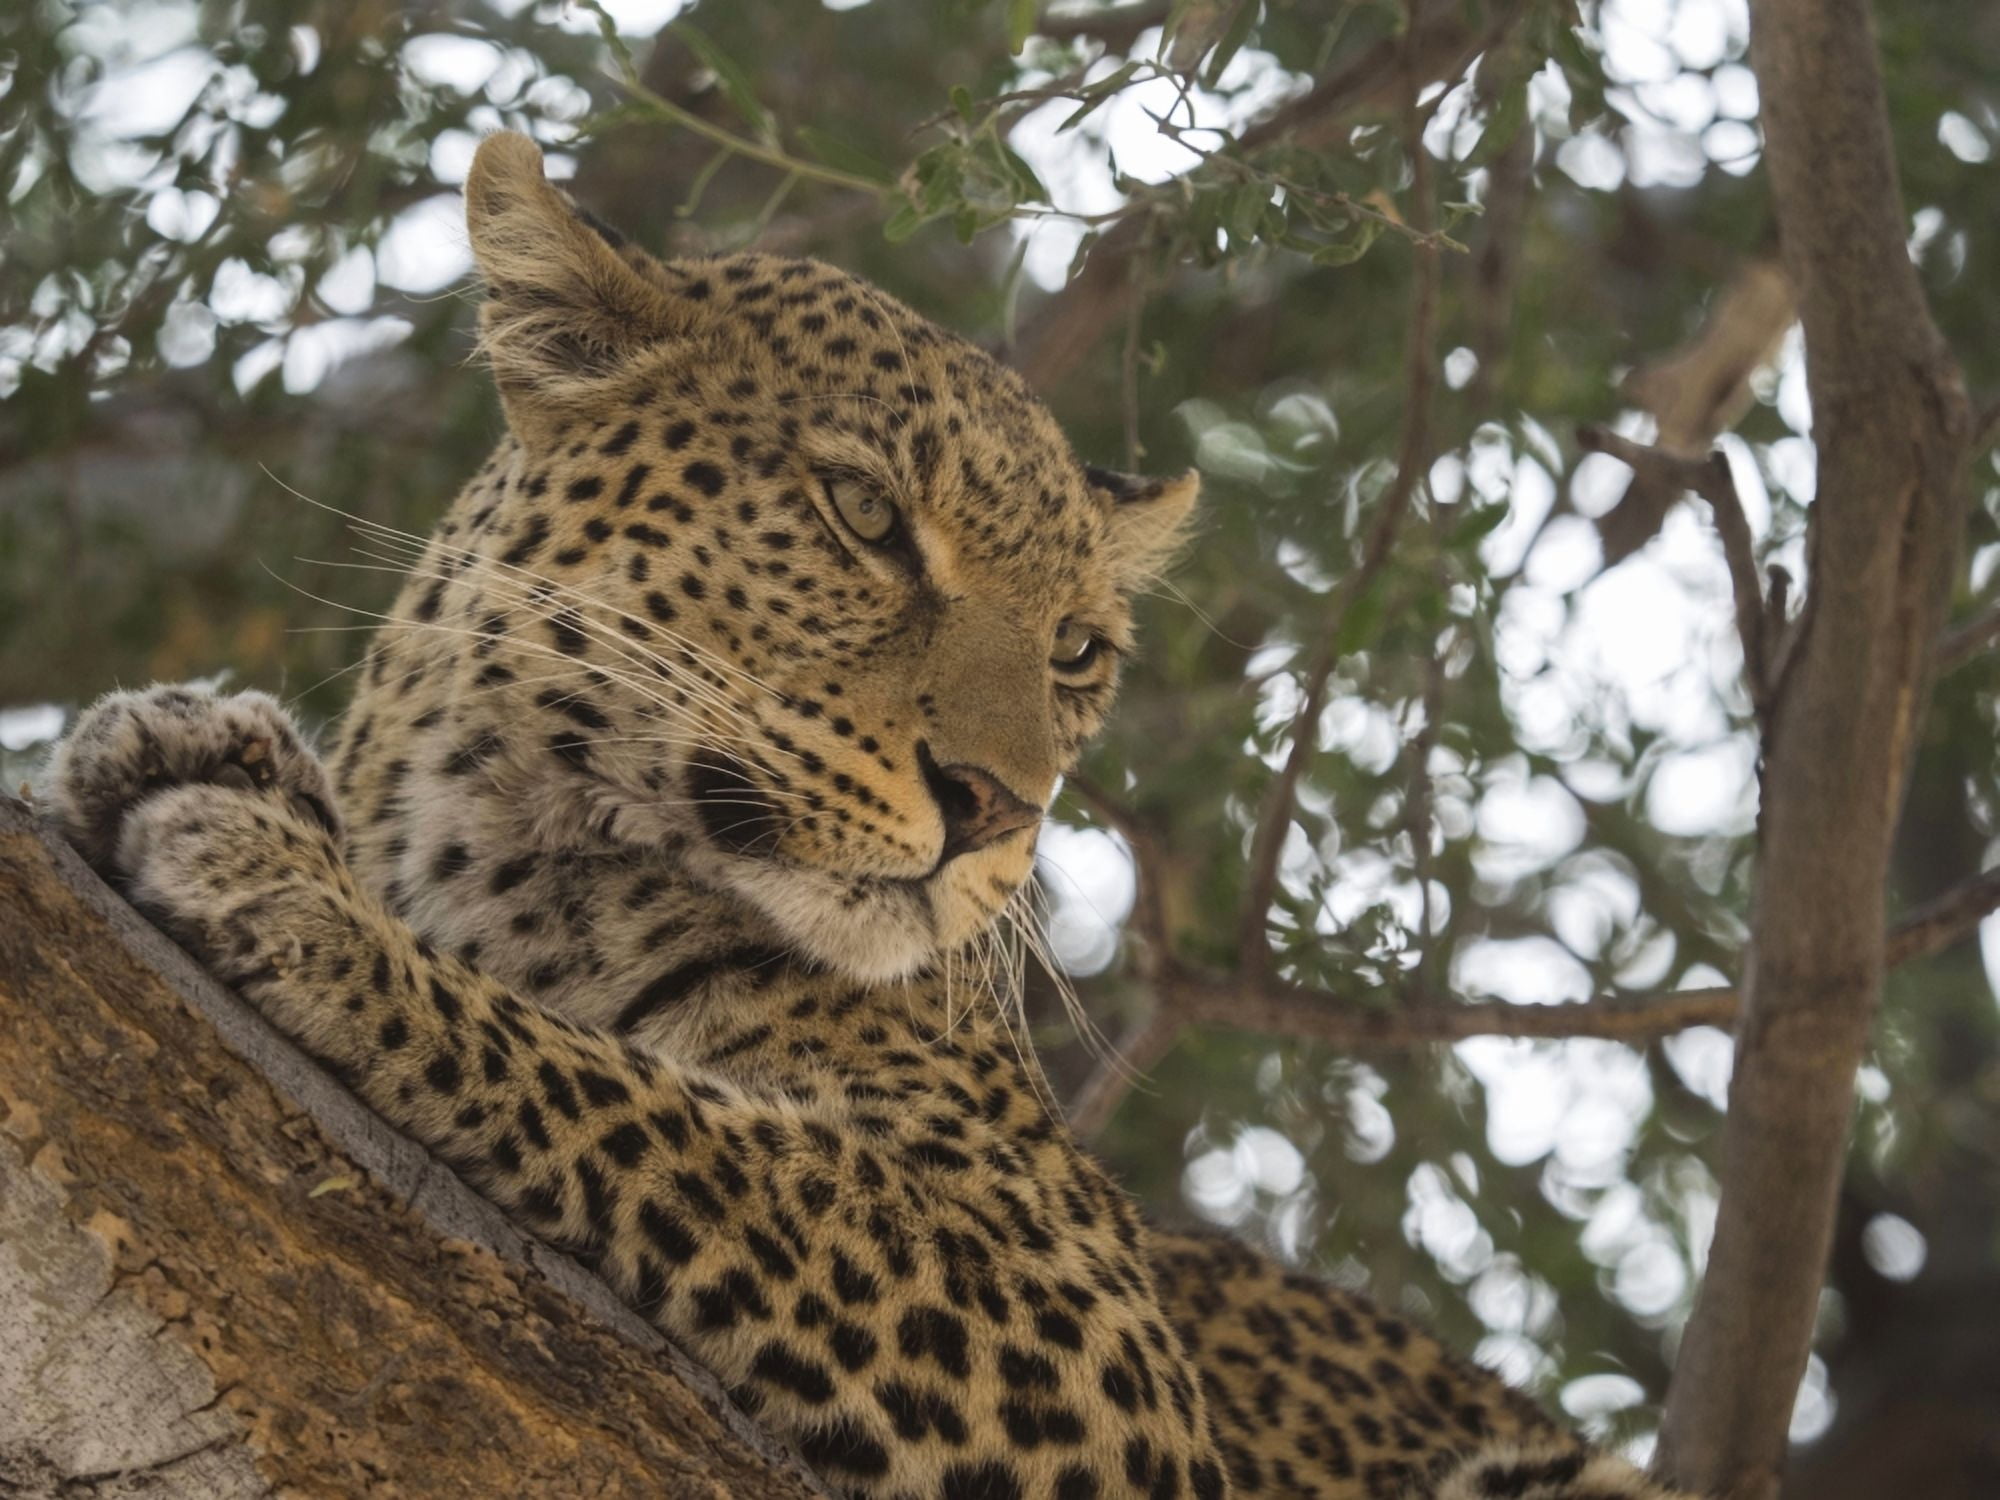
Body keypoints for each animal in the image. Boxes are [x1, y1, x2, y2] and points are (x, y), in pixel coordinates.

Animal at [44, 131, 1696, 1500]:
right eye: (865, 518)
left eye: (1076, 651)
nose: (996, 806)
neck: (491, 836)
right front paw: (185, 746)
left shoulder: (1084, 1324)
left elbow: (674, 1124)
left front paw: (297, 899)